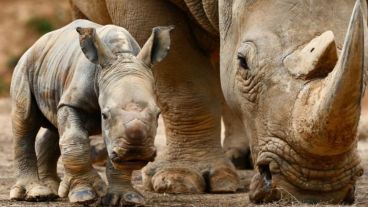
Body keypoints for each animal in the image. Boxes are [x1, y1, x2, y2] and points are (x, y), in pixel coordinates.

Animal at [9, 19, 174, 205]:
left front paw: (127, 198)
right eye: (104, 115)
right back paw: (36, 194)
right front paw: (84, 194)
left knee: (55, 127)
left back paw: (52, 190)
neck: (122, 56)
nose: (135, 152)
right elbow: (75, 139)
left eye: (158, 115)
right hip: (26, 65)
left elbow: (113, 156)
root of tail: (37, 43)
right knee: (25, 121)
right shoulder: (73, 102)